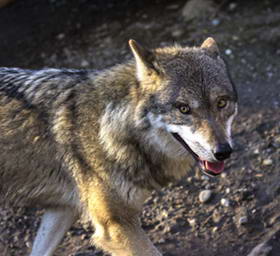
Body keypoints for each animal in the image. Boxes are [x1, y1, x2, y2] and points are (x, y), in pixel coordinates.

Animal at [0, 38, 237, 256]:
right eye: (184, 108)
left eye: (222, 103)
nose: (223, 152)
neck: (110, 126)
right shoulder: (116, 226)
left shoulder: (63, 210)